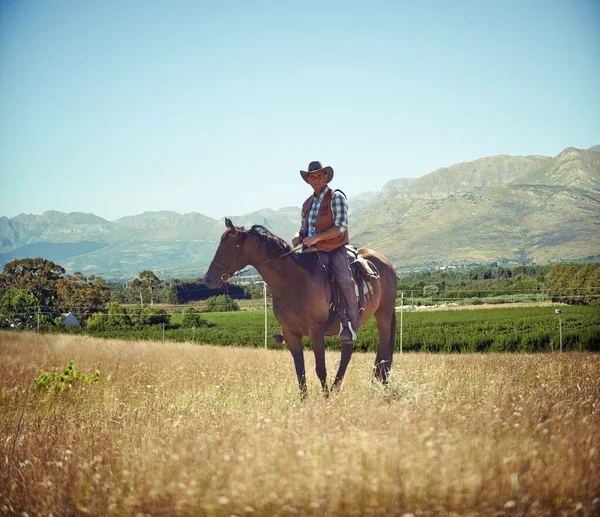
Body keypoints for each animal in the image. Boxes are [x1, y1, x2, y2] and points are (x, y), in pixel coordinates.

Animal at [204, 217, 396, 396]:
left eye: (227, 247)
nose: (208, 279)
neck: (293, 281)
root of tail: (385, 263)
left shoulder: (316, 331)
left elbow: (320, 369)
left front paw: (325, 400)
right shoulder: (291, 334)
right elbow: (300, 372)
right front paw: (305, 402)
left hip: (384, 314)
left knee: (383, 352)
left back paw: (380, 386)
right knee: (348, 353)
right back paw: (340, 389)